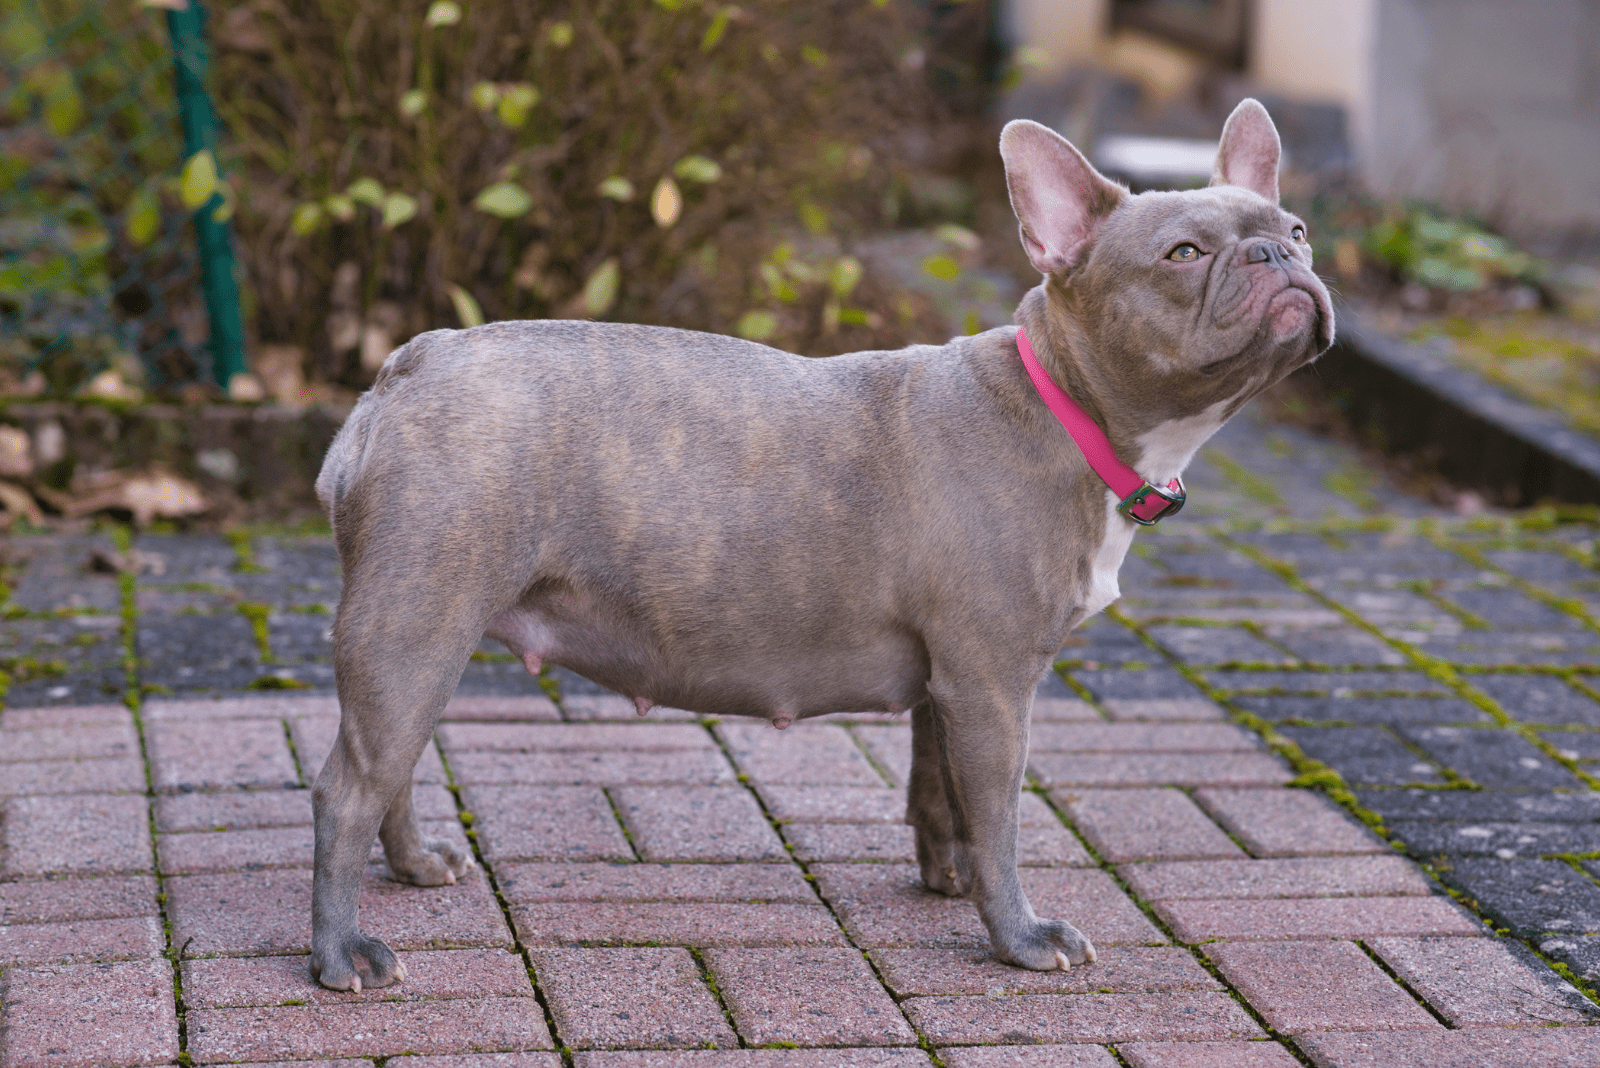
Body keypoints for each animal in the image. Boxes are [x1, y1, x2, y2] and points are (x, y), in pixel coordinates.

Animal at [305, 99, 1331, 991]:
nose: (1278, 253)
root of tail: (404, 367)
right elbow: (1000, 818)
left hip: (425, 634)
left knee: (394, 763)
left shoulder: (950, 686)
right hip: (414, 625)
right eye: (1185, 253)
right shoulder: (995, 686)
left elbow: (940, 795)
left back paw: (413, 866)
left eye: (1299, 228)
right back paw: (341, 952)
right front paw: (1018, 935)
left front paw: (946, 882)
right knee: (348, 789)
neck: (1063, 404)